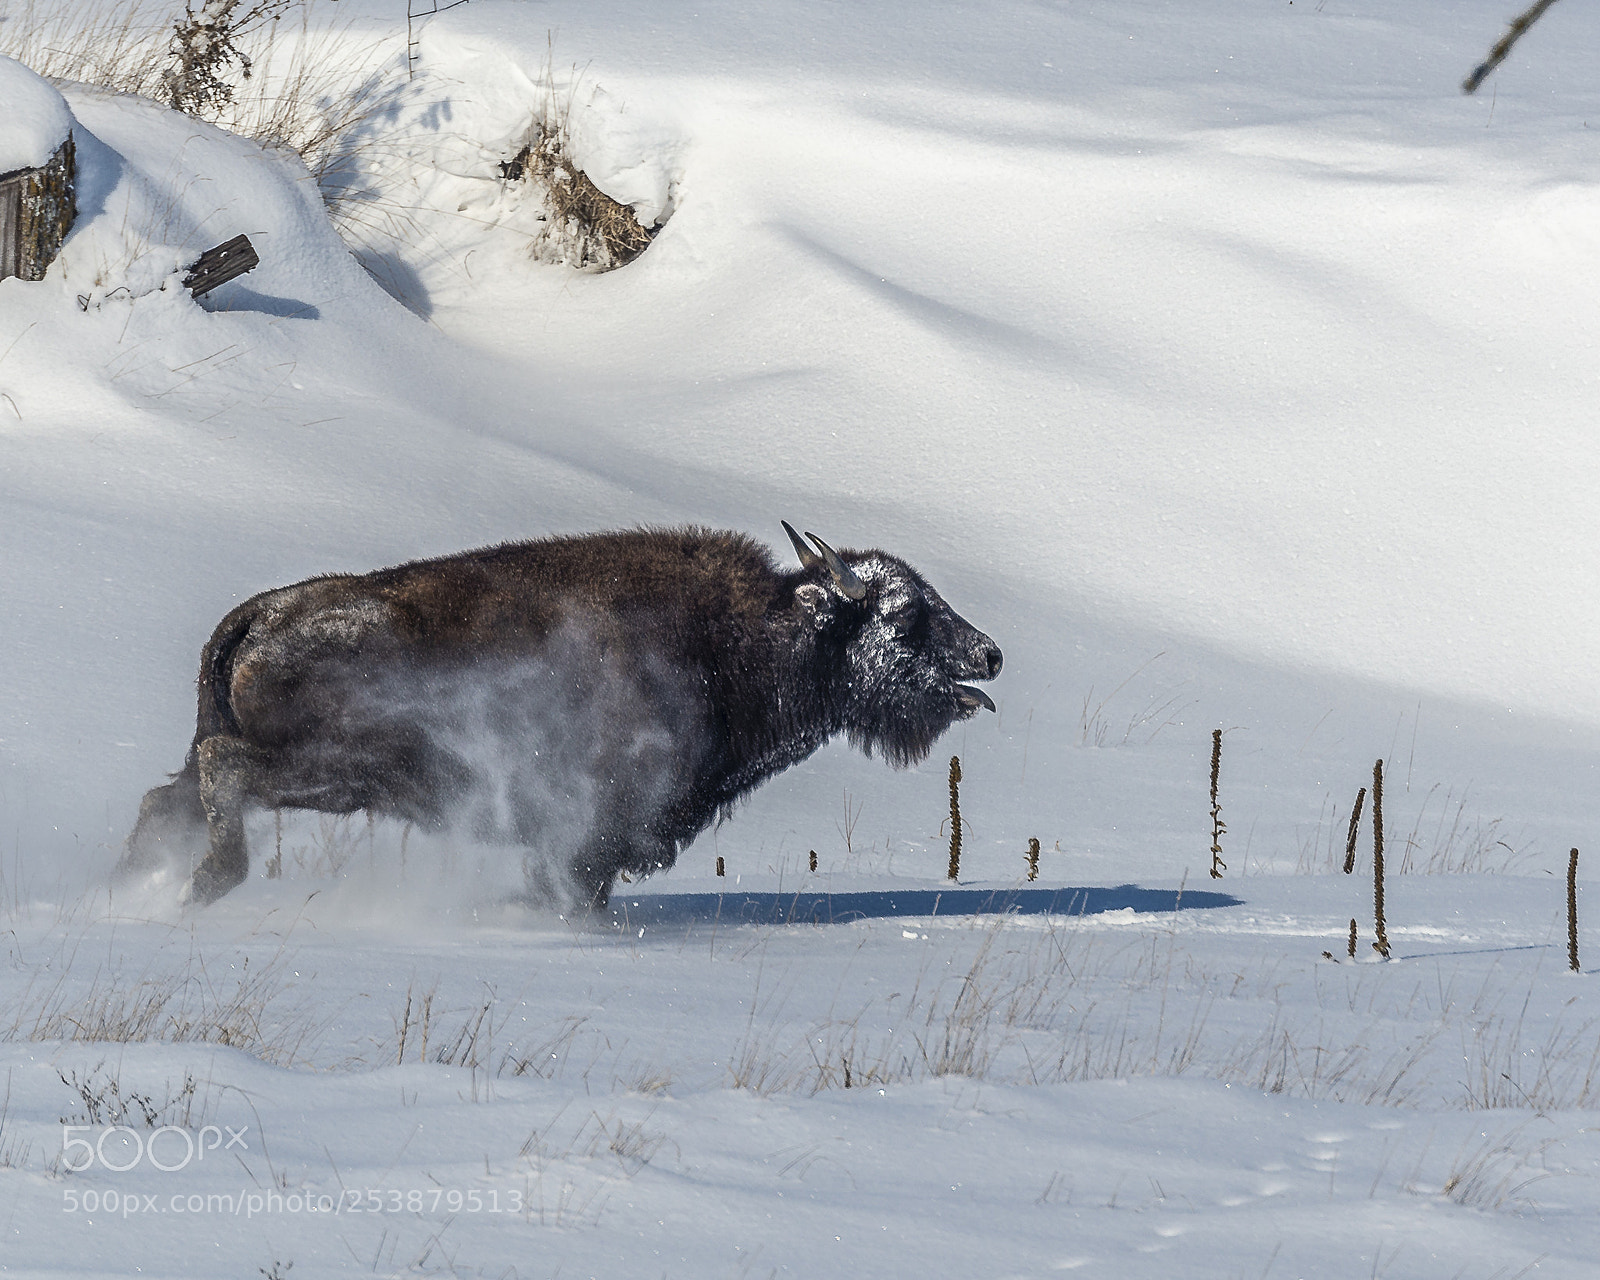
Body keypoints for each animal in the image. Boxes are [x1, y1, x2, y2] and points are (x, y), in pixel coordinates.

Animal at [119, 523, 1002, 908]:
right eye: (908, 616)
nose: (989, 656)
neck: (739, 638)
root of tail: (258, 616)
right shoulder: (590, 841)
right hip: (332, 769)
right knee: (222, 778)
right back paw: (208, 883)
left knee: (165, 800)